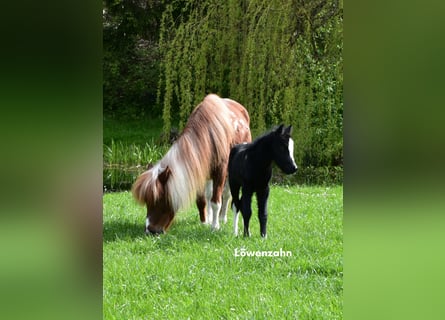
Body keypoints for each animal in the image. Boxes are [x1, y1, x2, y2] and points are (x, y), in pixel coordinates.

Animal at [131, 94, 250, 234]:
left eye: (159, 199)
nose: (151, 230)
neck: (209, 135)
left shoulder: (220, 172)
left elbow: (216, 201)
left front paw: (215, 226)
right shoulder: (199, 169)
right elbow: (202, 200)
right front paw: (205, 222)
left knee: (226, 194)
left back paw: (221, 218)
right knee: (209, 194)